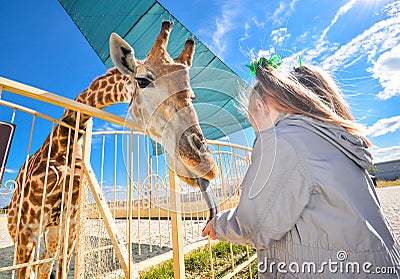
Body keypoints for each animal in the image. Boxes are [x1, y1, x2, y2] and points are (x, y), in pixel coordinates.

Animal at [6, 20, 217, 279]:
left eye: (192, 95)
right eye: (142, 80)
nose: (205, 164)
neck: (61, 147)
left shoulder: (70, 227)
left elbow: (60, 269)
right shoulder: (27, 228)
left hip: (52, 233)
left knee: (44, 267)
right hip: (19, 230)